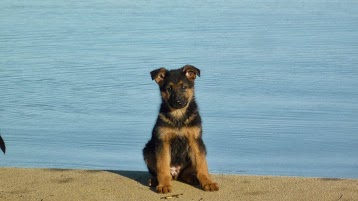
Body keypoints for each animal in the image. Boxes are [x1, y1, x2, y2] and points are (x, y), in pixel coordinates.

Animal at [143, 64, 218, 193]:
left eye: (184, 87)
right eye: (169, 89)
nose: (178, 102)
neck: (178, 116)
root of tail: (175, 172)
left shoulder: (195, 140)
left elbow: (202, 164)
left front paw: (208, 182)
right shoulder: (163, 141)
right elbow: (162, 166)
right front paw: (164, 185)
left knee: (187, 173)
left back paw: (193, 178)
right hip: (148, 150)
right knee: (159, 171)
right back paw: (155, 180)